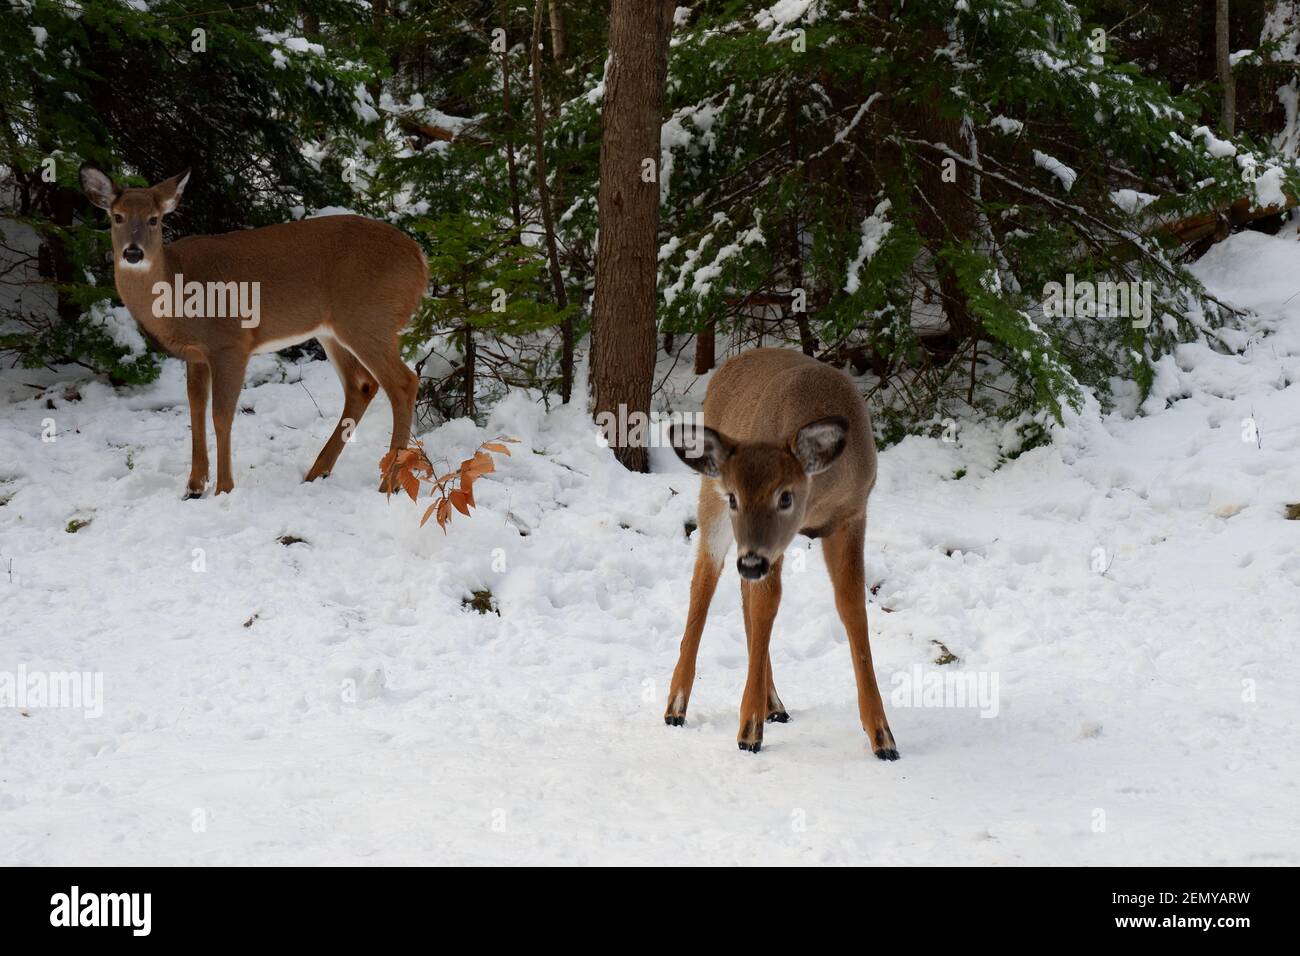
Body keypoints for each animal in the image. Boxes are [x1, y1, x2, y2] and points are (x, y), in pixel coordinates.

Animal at [78, 164, 426, 496]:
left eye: (154, 219)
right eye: (118, 217)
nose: (133, 252)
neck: (176, 292)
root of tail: (421, 261)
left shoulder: (231, 342)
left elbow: (221, 415)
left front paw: (223, 488)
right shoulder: (196, 354)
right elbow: (195, 409)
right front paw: (194, 485)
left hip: (369, 319)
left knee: (403, 383)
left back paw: (388, 483)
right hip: (333, 331)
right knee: (362, 386)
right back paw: (317, 472)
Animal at [665, 348, 899, 759]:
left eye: (785, 496)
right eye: (735, 497)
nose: (750, 562)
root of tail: (730, 363)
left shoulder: (852, 515)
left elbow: (852, 606)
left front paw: (882, 735)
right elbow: (766, 605)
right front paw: (748, 728)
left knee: (745, 593)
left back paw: (774, 703)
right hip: (711, 499)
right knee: (705, 581)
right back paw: (677, 706)